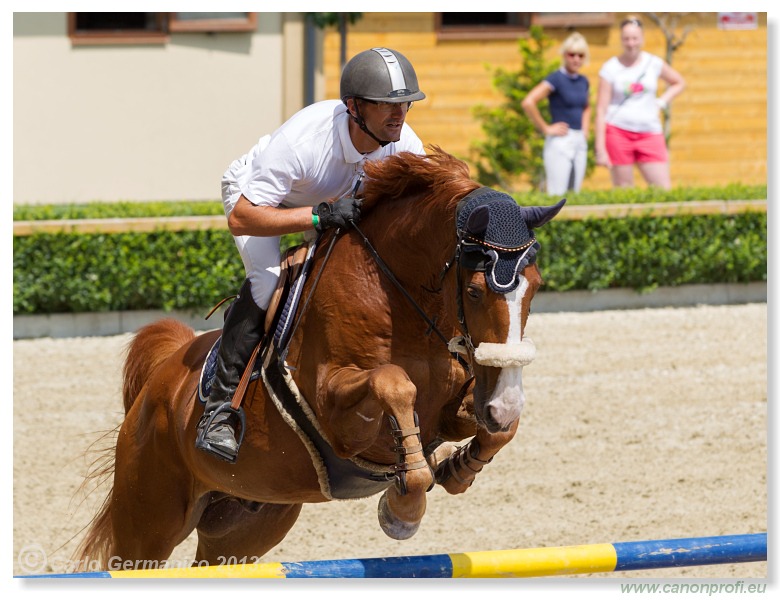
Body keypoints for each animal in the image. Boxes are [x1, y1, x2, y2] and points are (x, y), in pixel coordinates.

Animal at [73, 148, 564, 568]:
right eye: (476, 291)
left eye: (536, 287)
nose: (502, 404)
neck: (393, 295)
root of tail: (160, 380)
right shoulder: (336, 412)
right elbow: (392, 384)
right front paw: (402, 510)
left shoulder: (452, 408)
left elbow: (495, 431)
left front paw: (459, 469)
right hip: (150, 519)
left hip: (246, 523)